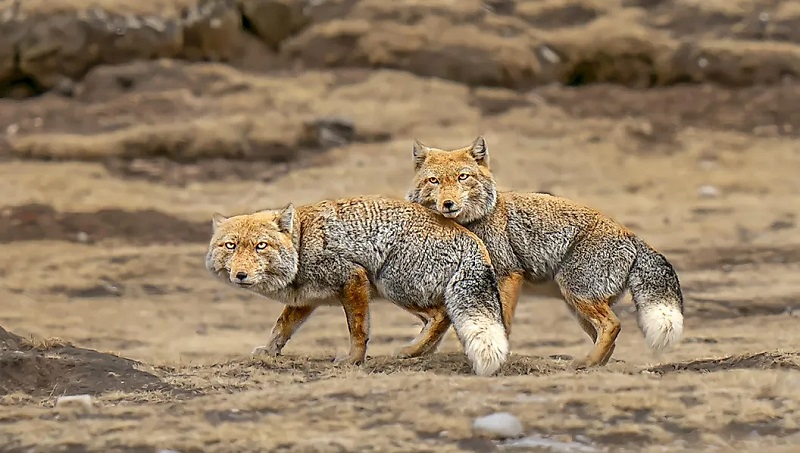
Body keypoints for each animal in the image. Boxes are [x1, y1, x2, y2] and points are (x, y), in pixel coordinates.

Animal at [205, 195, 509, 376]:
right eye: (230, 246)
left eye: (261, 246)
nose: (240, 275)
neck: (301, 245)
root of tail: (471, 238)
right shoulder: (304, 300)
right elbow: (281, 328)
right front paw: (269, 352)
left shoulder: (353, 280)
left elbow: (358, 330)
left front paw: (354, 360)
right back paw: (418, 351)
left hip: (392, 285)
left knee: (442, 315)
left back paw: (411, 351)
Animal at [405, 136, 685, 369]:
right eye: (434, 181)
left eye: (463, 177)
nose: (448, 204)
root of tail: (632, 236)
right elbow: (443, 324)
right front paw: (418, 351)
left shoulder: (507, 275)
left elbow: (500, 322)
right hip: (578, 307)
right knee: (609, 336)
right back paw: (595, 363)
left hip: (577, 295)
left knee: (613, 326)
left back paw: (585, 363)